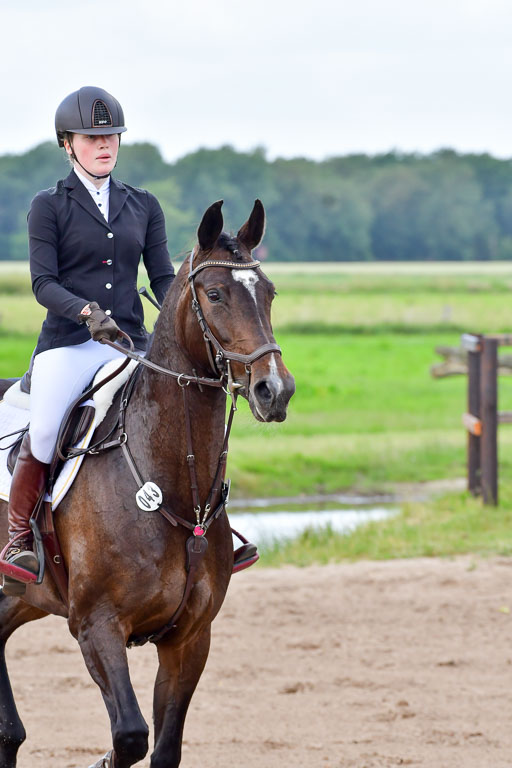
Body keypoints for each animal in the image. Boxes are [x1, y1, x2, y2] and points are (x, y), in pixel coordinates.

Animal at [0, 199, 295, 768]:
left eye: (268, 292)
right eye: (216, 294)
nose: (275, 390)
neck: (170, 480)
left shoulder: (189, 638)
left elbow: (163, 748)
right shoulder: (96, 626)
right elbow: (130, 736)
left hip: (20, 598)